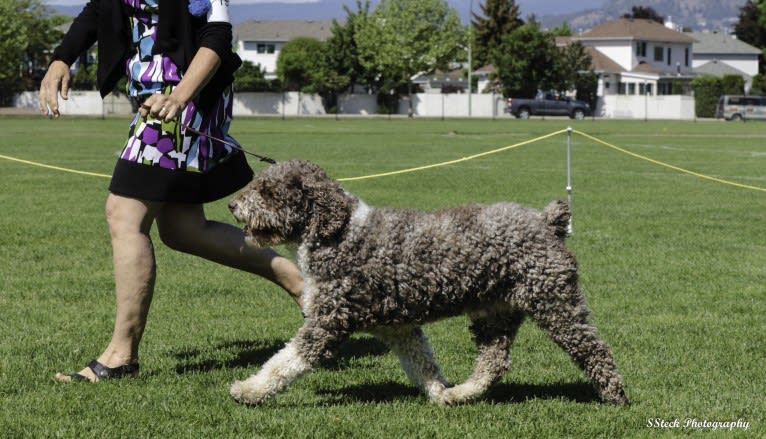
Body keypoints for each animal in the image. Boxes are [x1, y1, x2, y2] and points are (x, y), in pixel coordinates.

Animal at [228, 161, 632, 406]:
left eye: (268, 192)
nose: (233, 204)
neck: (338, 234)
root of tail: (546, 220)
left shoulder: (329, 321)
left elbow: (285, 361)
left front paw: (248, 389)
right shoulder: (399, 327)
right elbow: (423, 364)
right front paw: (439, 393)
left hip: (555, 302)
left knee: (595, 350)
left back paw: (615, 397)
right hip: (494, 313)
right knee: (494, 361)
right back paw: (462, 393)